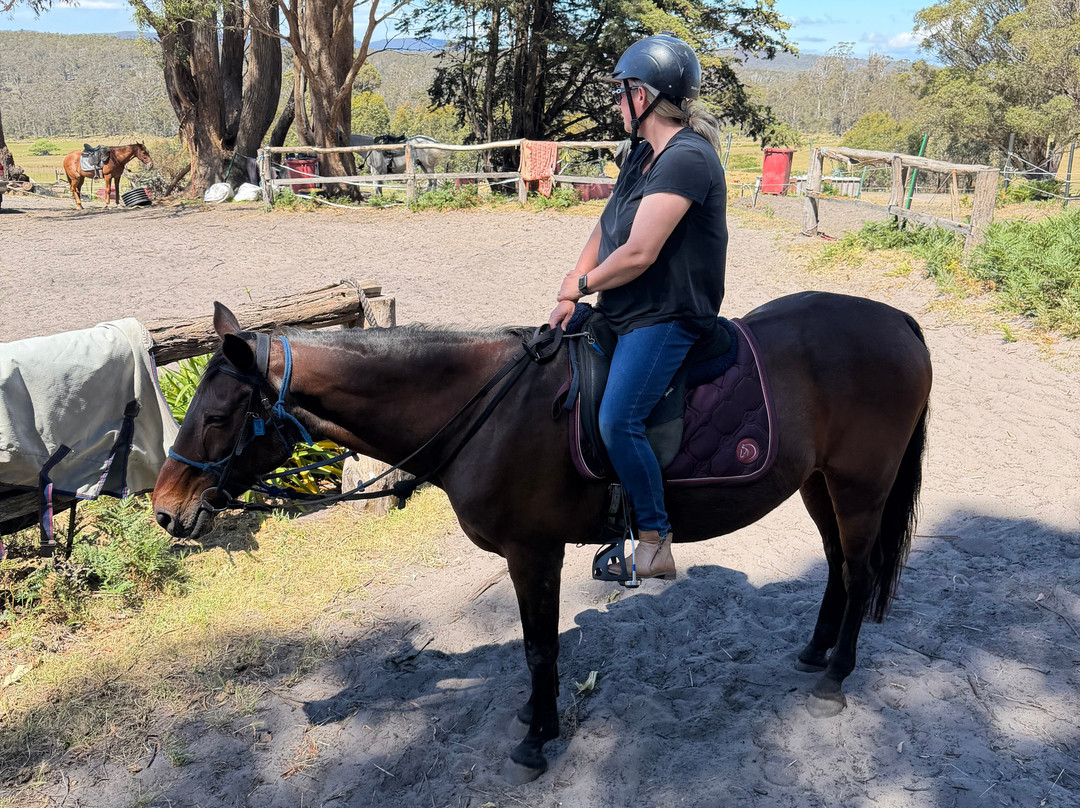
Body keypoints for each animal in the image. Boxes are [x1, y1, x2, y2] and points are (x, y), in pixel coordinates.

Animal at [151, 291, 932, 783]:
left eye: (216, 416)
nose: (162, 510)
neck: (488, 408)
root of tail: (898, 321)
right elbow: (538, 646)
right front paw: (537, 715)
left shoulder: (534, 553)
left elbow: (537, 646)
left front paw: (537, 736)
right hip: (819, 482)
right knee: (838, 566)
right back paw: (814, 652)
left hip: (859, 484)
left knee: (860, 571)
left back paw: (834, 676)